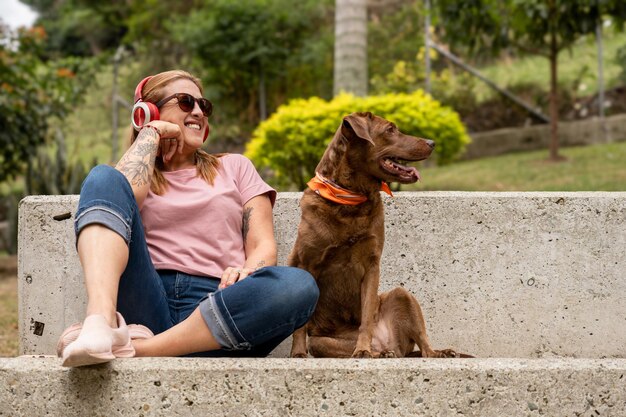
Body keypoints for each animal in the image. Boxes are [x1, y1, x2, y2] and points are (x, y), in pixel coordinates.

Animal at [288, 111, 464, 358]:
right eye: (390, 129)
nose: (432, 142)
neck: (351, 199)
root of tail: (390, 345)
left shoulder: (371, 265)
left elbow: (366, 314)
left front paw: (363, 349)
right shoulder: (305, 263)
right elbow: (300, 326)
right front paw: (298, 353)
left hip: (402, 295)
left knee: (423, 345)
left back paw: (433, 352)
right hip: (321, 342)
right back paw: (380, 353)